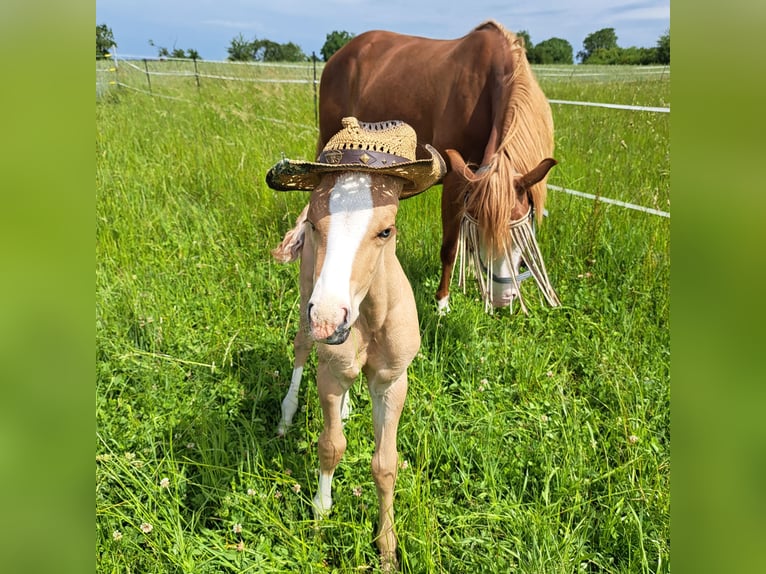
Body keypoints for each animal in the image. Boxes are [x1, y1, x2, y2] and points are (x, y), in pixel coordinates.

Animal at [266, 117, 446, 571]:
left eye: (386, 230)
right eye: (315, 224)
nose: (330, 319)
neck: (368, 319)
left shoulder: (392, 383)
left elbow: (385, 464)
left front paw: (387, 548)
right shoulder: (328, 373)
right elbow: (331, 446)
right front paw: (319, 515)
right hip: (305, 299)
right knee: (299, 348)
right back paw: (286, 415)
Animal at [318, 20, 559, 314]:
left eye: (520, 233)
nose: (502, 299)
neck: (487, 86)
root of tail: (341, 53)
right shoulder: (456, 180)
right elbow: (450, 248)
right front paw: (442, 303)